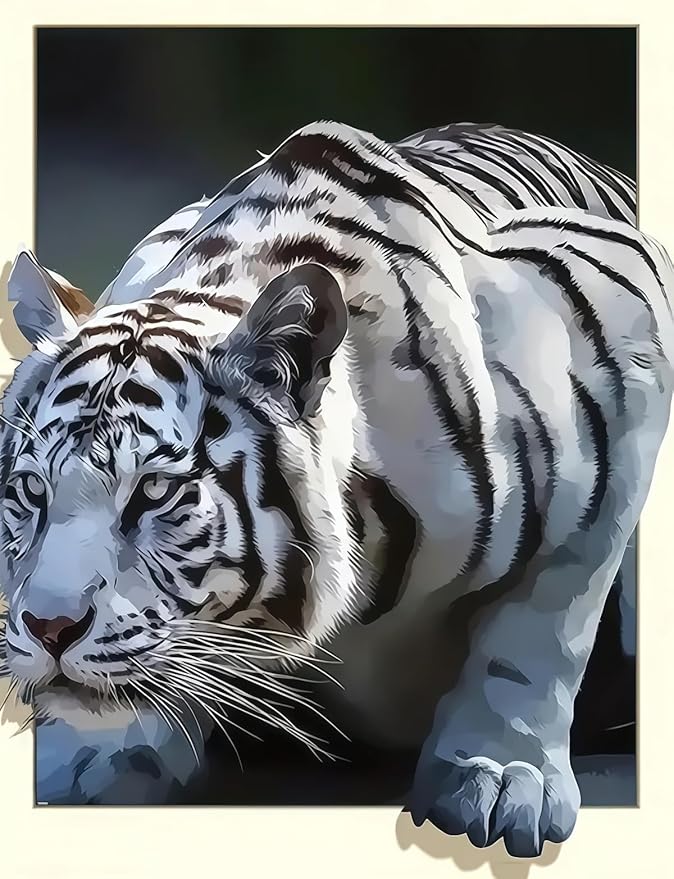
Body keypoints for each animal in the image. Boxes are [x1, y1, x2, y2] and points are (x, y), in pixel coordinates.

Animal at [0, 120, 671, 858]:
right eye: (31, 490)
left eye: (152, 491)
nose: (49, 629)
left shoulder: (625, 331)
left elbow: (544, 621)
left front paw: (497, 775)